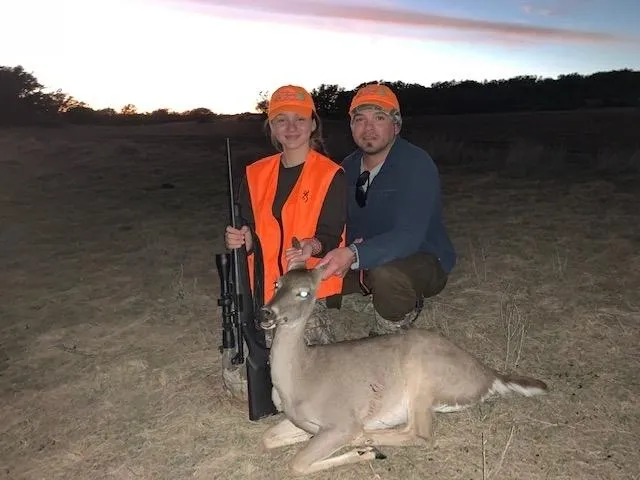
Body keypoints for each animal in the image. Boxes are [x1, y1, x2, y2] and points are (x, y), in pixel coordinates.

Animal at [258, 248, 548, 476]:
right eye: (276, 283)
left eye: (304, 293)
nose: (266, 313)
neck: (300, 378)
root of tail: (489, 375)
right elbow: (268, 437)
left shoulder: (341, 419)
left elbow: (297, 463)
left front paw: (365, 450)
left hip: (424, 378)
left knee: (420, 434)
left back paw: (367, 443)